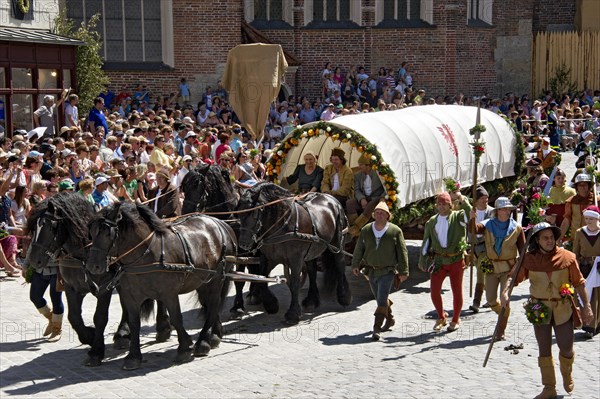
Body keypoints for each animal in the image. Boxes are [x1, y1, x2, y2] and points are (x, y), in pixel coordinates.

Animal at [28, 195, 173, 368]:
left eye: (51, 227)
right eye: (34, 228)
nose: (34, 260)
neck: (84, 252)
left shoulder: (105, 287)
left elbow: (100, 317)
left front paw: (96, 351)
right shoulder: (71, 287)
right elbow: (74, 317)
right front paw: (90, 336)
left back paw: (163, 328)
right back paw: (123, 334)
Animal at [86, 203, 237, 372]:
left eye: (108, 233)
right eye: (91, 232)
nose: (93, 266)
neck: (148, 254)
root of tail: (221, 223)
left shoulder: (169, 294)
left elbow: (177, 319)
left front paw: (184, 349)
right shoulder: (130, 296)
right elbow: (134, 323)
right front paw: (133, 357)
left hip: (216, 280)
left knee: (212, 306)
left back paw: (203, 342)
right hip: (203, 281)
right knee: (209, 305)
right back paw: (213, 337)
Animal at [180, 164, 278, 318]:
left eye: (198, 185)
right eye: (184, 187)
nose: (185, 212)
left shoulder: (242, 252)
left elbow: (239, 280)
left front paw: (238, 306)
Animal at [236, 183, 352, 326]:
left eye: (253, 213)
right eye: (239, 214)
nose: (243, 244)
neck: (282, 224)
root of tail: (332, 199)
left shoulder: (295, 259)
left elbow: (295, 283)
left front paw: (293, 314)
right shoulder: (268, 258)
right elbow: (261, 278)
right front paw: (271, 304)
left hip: (337, 244)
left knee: (340, 265)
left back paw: (343, 297)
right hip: (313, 249)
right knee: (312, 271)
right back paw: (311, 301)